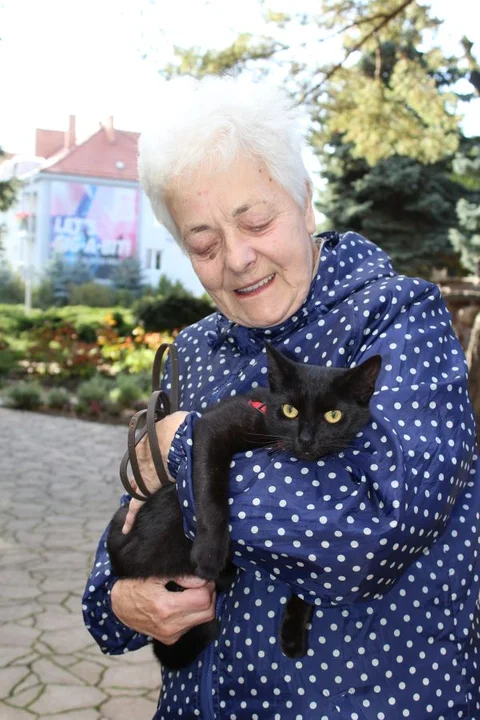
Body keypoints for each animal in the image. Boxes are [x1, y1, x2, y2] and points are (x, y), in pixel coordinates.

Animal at [108, 344, 382, 668]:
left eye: (333, 415)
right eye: (290, 410)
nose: (305, 439)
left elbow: (312, 570)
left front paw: (293, 634)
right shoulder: (211, 429)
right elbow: (210, 491)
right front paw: (210, 553)